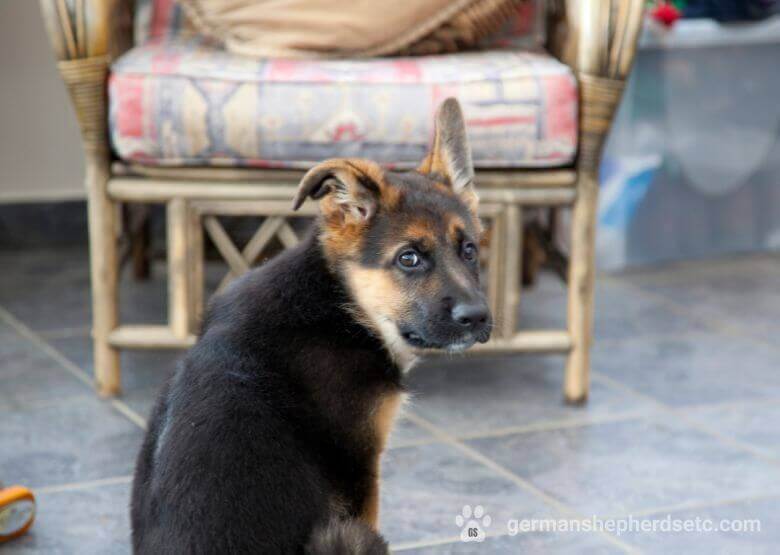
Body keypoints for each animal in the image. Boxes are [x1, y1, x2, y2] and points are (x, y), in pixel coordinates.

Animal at [131, 97, 490, 552]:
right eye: (409, 258)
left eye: (469, 251)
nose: (478, 318)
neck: (338, 302)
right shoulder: (360, 473)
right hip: (351, 535)